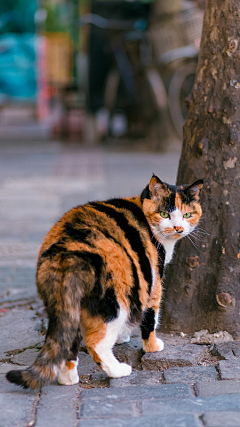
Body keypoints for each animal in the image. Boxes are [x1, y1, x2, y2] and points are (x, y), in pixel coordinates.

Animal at [6, 176, 202, 390]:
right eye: (164, 214)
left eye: (187, 214)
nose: (178, 228)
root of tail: (68, 252)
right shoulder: (153, 281)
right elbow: (150, 317)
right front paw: (152, 347)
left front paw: (123, 336)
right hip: (115, 300)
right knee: (95, 343)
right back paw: (118, 371)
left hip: (68, 305)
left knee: (69, 340)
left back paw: (68, 379)